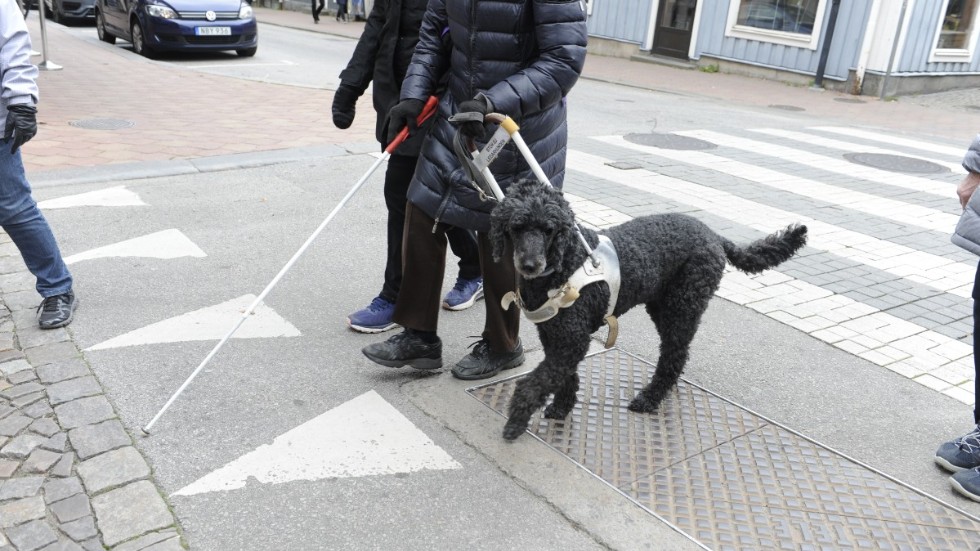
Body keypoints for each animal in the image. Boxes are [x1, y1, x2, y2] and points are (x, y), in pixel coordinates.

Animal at [486, 181, 808, 440]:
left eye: (548, 230)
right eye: (516, 227)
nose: (530, 265)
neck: (564, 264)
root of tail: (714, 236)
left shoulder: (572, 339)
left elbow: (535, 382)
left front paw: (517, 419)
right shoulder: (556, 336)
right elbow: (562, 375)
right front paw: (561, 406)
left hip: (682, 308)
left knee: (674, 356)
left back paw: (650, 399)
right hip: (664, 307)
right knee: (676, 356)